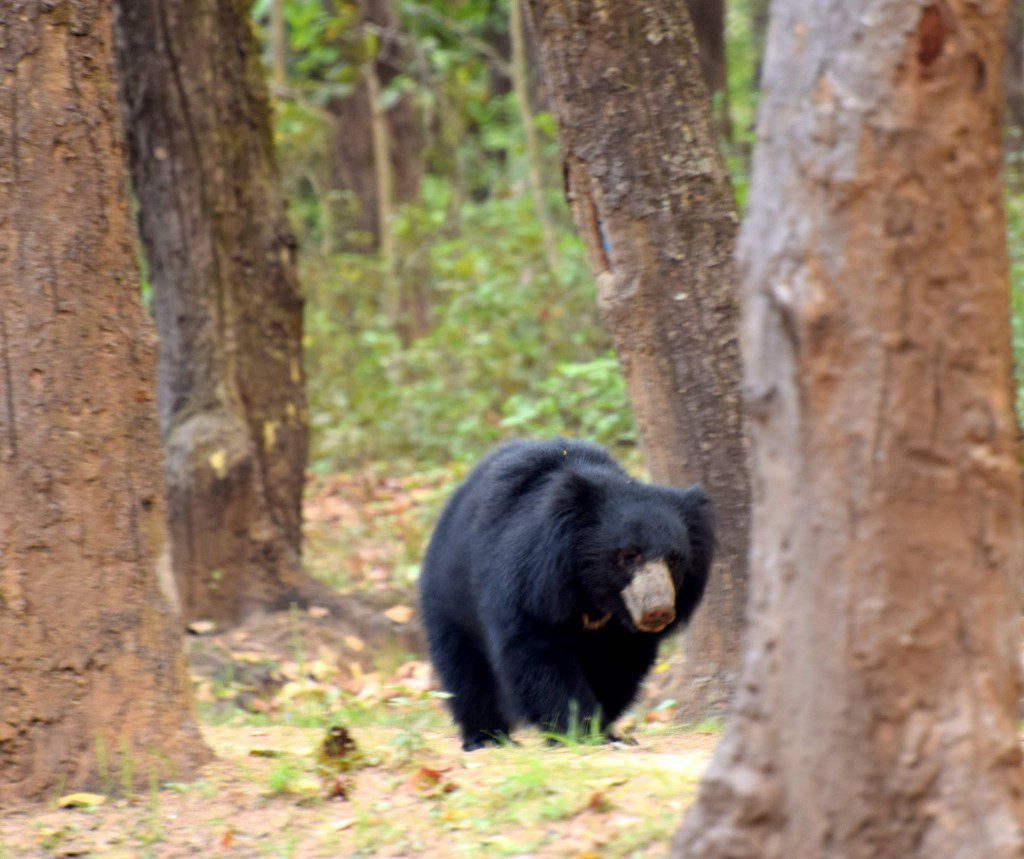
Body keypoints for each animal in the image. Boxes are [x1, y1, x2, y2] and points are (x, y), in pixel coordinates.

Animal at [415, 440, 712, 749]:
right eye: (628, 555)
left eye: (674, 559)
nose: (657, 610)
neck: (595, 596)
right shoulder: (532, 583)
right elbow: (539, 655)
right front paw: (581, 730)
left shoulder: (621, 631)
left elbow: (617, 665)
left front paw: (606, 728)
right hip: (451, 598)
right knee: (465, 668)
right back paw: (486, 737)